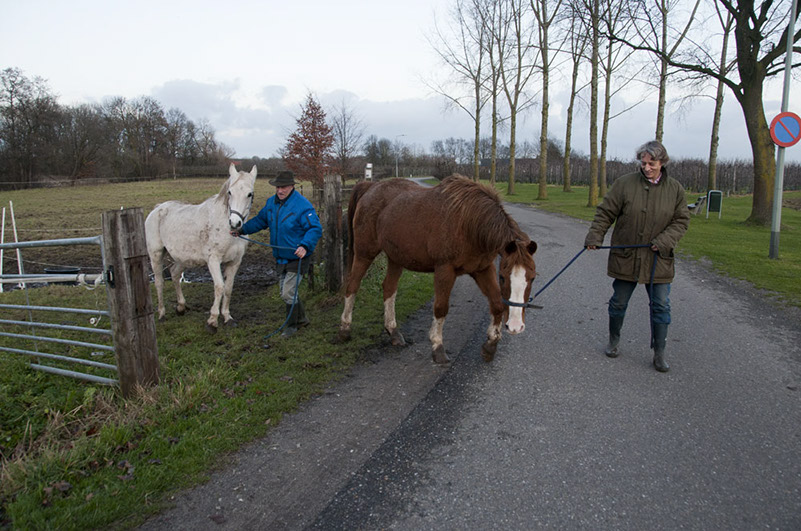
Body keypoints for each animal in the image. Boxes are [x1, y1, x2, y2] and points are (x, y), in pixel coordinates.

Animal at [145, 163, 256, 332]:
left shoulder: (235, 262)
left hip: (181, 258)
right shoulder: (213, 261)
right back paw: (162, 314)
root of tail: (157, 209)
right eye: (230, 192)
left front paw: (227, 317)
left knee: (175, 274)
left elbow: (228, 288)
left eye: (250, 194)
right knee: (159, 282)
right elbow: (219, 287)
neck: (225, 229)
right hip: (156, 255)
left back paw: (181, 307)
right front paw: (212, 321)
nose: (235, 223)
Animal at [334, 176, 536, 366]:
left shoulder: (483, 269)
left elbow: (496, 304)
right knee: (352, 285)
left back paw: (393, 332)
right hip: (364, 253)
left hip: (395, 258)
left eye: (532, 278)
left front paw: (490, 346)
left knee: (389, 288)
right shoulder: (444, 270)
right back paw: (345, 329)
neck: (468, 223)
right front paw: (437, 347)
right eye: (502, 277)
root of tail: (371, 187)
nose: (516, 326)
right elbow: (440, 308)